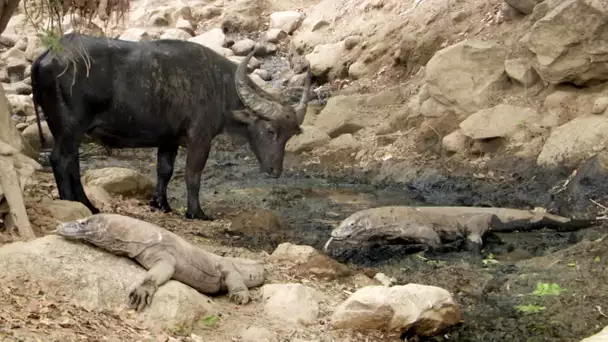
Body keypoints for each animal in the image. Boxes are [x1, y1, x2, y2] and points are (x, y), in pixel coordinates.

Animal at [30, 32, 312, 219]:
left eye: (290, 136)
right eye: (270, 130)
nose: (275, 171)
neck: (218, 86)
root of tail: (47, 55)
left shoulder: (169, 140)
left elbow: (164, 171)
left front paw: (161, 204)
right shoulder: (200, 139)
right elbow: (192, 175)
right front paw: (196, 212)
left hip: (67, 132)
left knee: (73, 163)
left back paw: (86, 203)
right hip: (69, 128)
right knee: (61, 160)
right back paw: (76, 203)